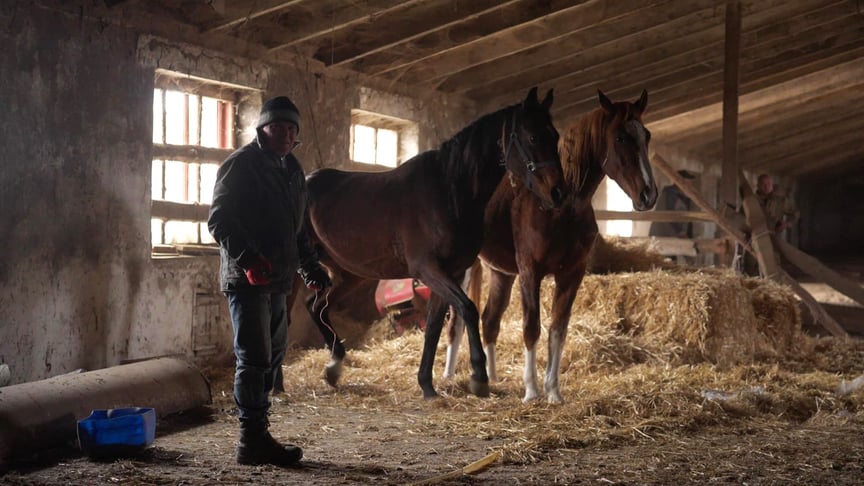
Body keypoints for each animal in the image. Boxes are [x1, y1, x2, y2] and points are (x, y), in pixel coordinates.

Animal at [304, 87, 568, 398]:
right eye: (533, 137)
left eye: (555, 135)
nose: (558, 192)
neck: (449, 190)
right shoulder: (428, 269)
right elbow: (468, 309)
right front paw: (479, 377)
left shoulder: (450, 272)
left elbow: (432, 327)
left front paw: (427, 385)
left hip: (348, 274)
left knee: (316, 306)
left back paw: (334, 367)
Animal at [442, 90, 660, 402]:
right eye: (620, 137)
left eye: (647, 136)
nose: (649, 194)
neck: (559, 209)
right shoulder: (530, 272)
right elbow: (531, 328)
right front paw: (531, 391)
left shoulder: (571, 275)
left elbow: (558, 330)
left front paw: (553, 391)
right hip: (466, 268)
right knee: (456, 321)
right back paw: (448, 376)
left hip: (501, 273)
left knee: (490, 320)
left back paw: (492, 378)